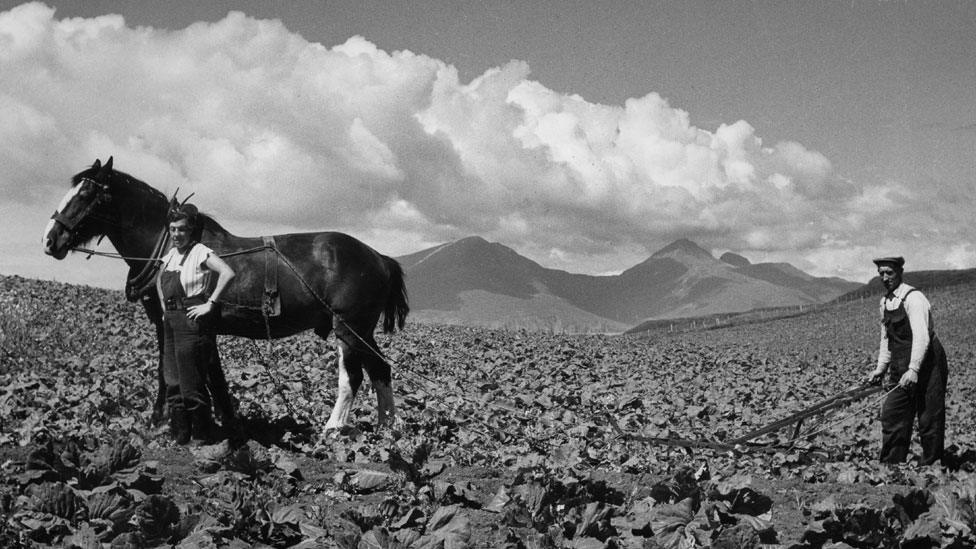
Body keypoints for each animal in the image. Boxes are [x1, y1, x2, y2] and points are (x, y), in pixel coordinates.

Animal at [41, 157, 408, 432]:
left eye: (87, 193)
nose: (49, 239)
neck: (171, 247)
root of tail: (380, 258)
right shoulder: (200, 325)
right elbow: (212, 372)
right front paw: (225, 417)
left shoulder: (170, 322)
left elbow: (167, 367)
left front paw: (160, 419)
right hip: (362, 330)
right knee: (381, 369)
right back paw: (388, 428)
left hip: (349, 327)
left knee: (353, 376)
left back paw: (333, 428)